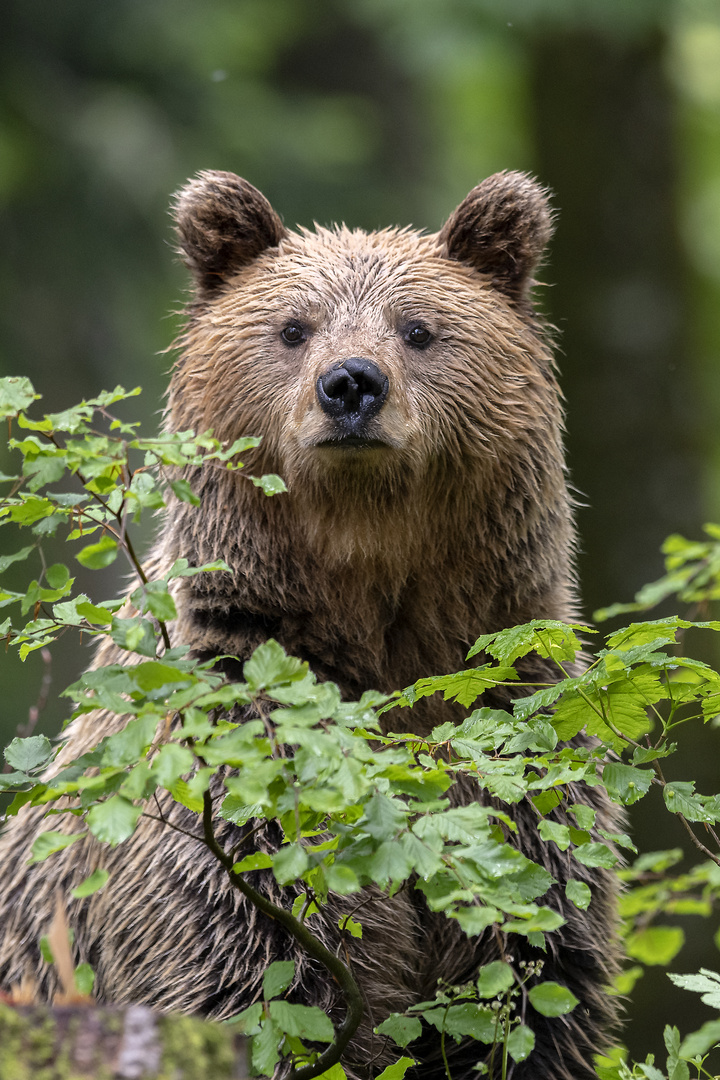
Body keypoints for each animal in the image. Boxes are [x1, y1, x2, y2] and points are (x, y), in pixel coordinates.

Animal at [0, 170, 621, 1080]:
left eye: (418, 329)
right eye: (293, 328)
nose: (352, 383)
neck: (377, 620)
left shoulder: (516, 755)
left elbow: (534, 989)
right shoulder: (238, 783)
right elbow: (264, 984)